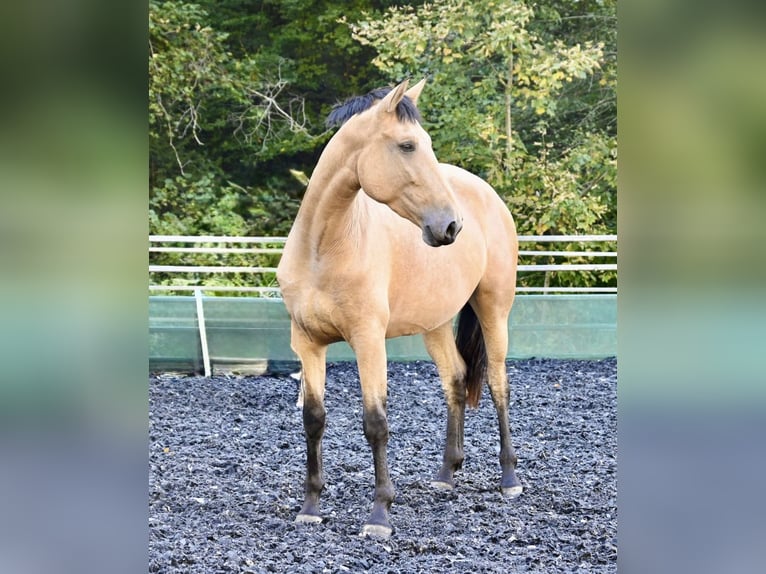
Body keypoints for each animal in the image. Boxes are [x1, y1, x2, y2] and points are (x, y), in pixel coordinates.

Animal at [276, 79, 521, 538]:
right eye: (408, 145)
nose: (451, 226)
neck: (324, 250)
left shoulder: (368, 341)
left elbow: (375, 423)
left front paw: (379, 514)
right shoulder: (308, 343)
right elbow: (313, 419)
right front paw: (310, 506)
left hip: (493, 309)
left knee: (498, 384)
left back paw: (510, 478)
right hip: (436, 323)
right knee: (455, 380)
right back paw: (446, 475)